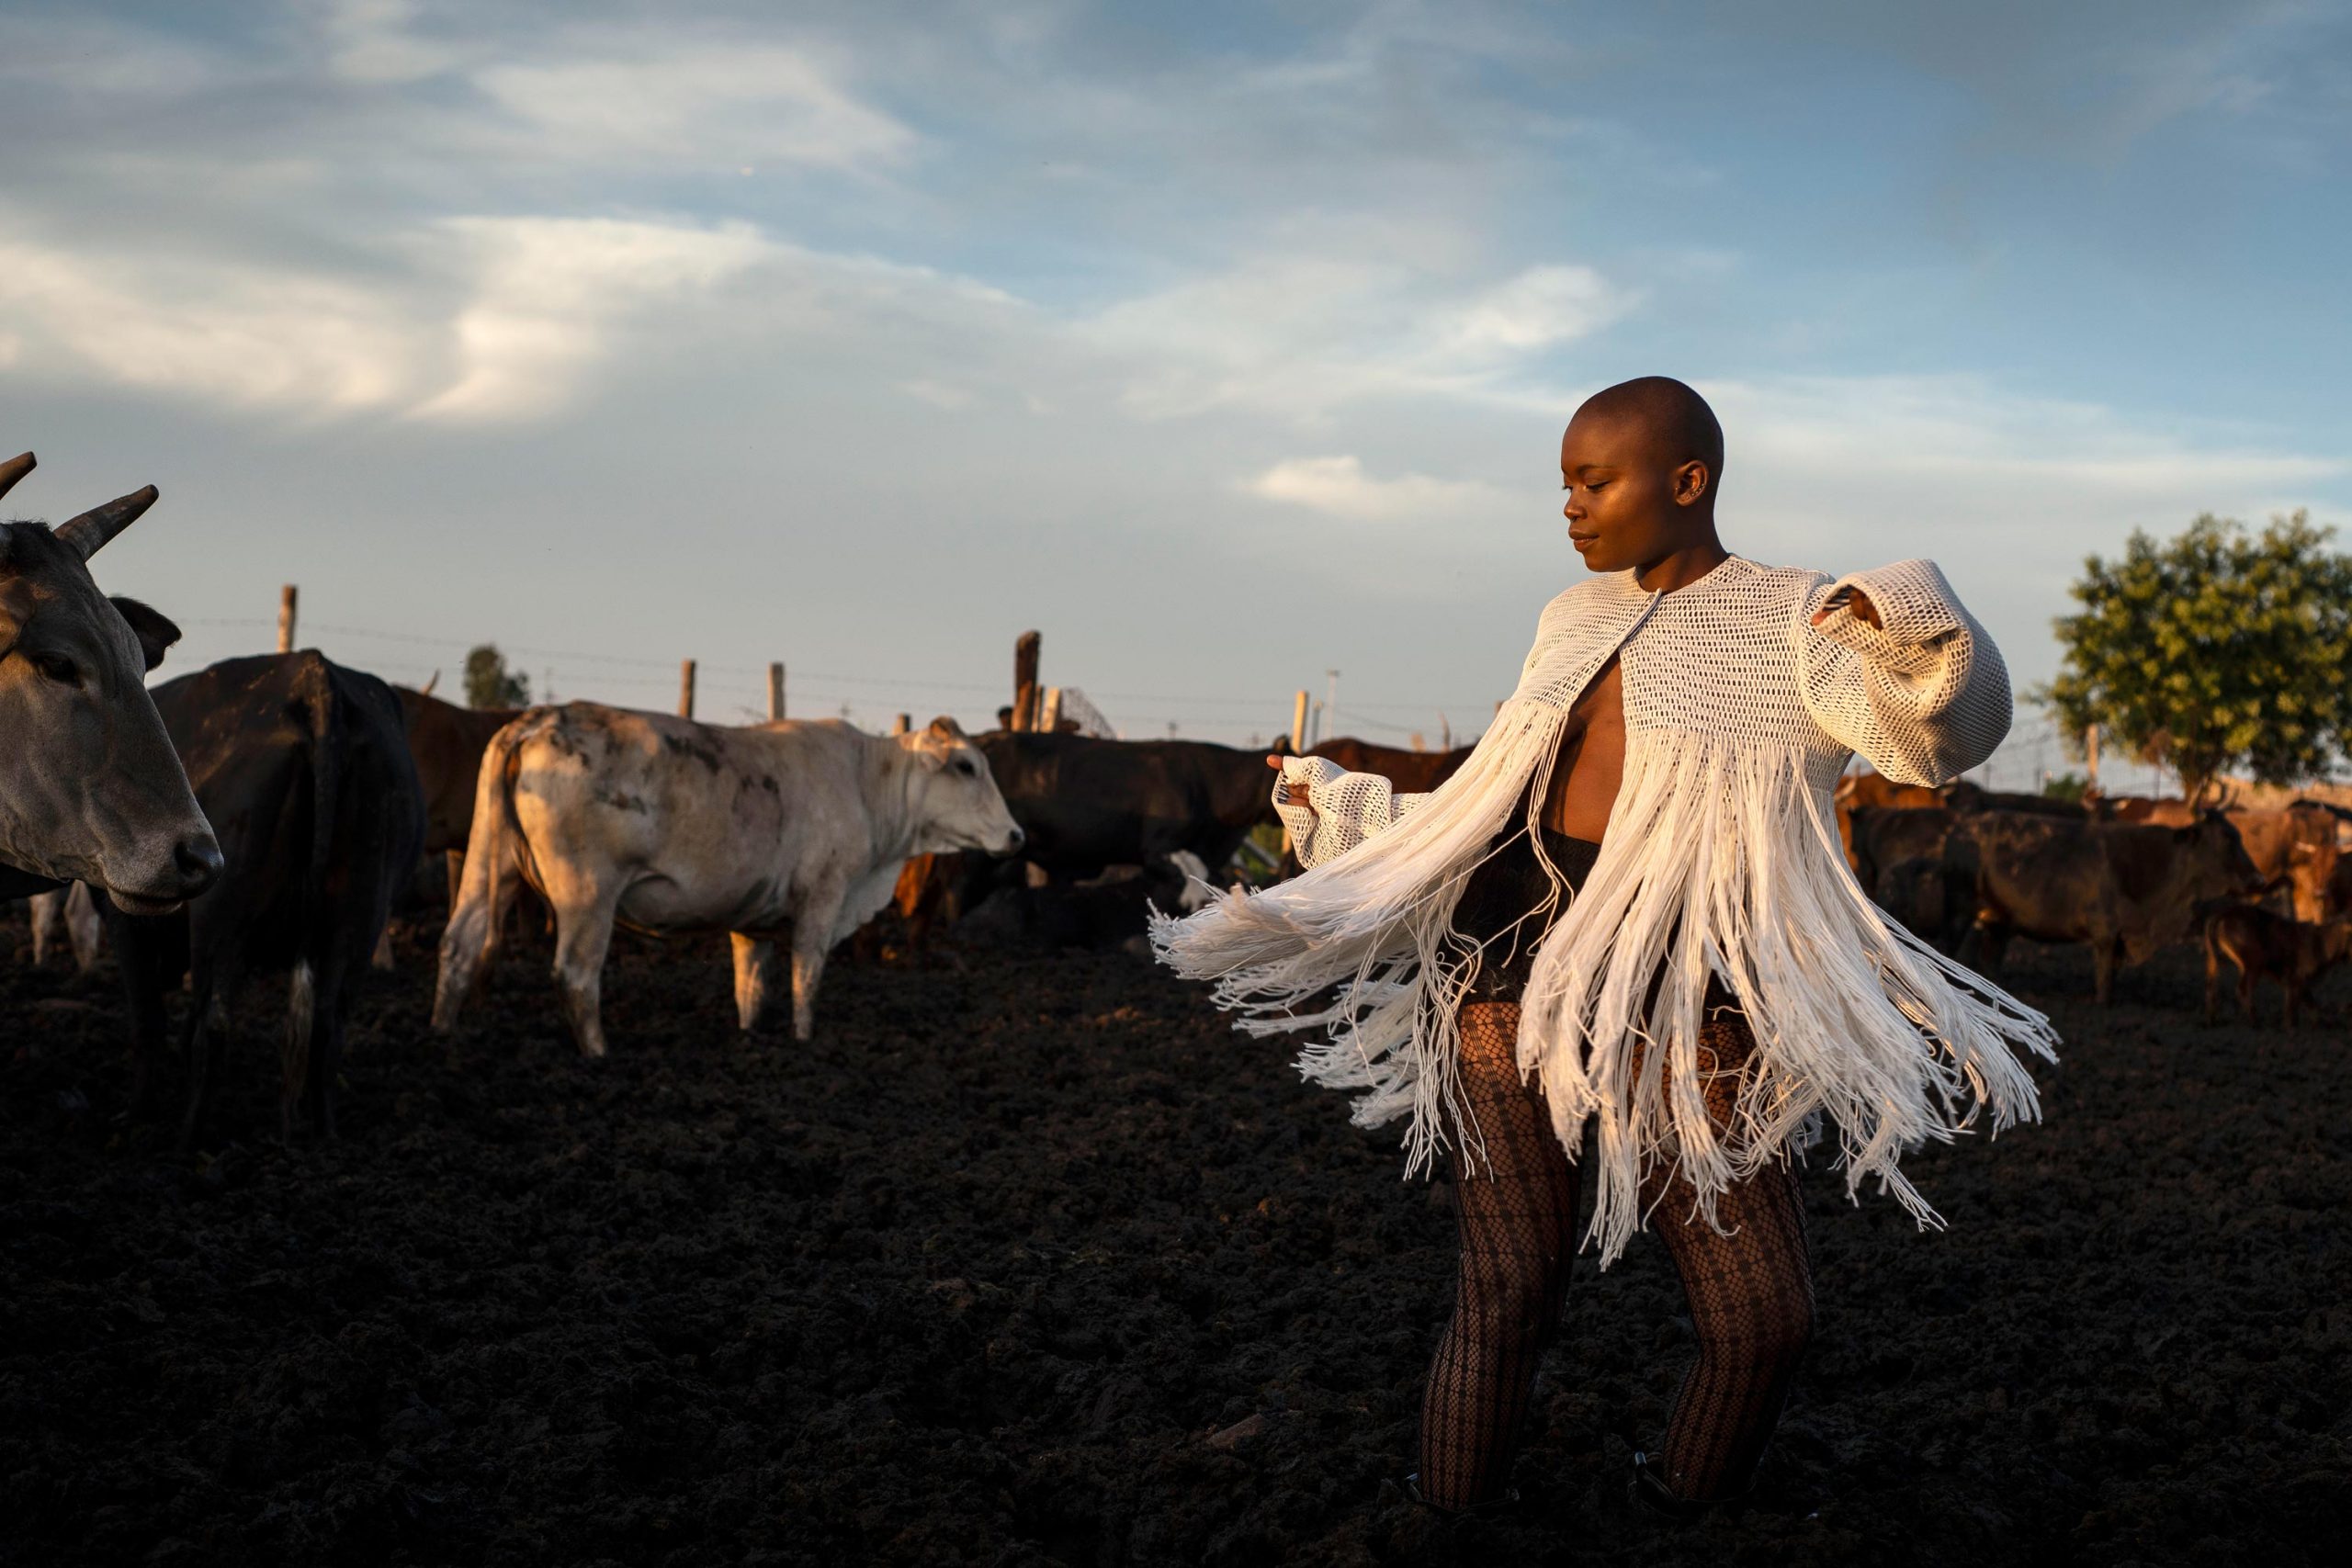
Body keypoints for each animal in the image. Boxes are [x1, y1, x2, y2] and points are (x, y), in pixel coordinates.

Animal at [104, 653, 427, 1152]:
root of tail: (314, 675)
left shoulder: (126, 922)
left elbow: (148, 1019)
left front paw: (137, 1114)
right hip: (360, 916)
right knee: (328, 1028)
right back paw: (326, 1135)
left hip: (221, 919)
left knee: (215, 1025)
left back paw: (188, 1139)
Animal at [433, 709, 1021, 1053]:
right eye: (966, 766)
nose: (1016, 836)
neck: (863, 781)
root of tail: (537, 720)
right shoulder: (822, 897)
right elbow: (806, 979)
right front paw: (804, 1043)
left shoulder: (752, 920)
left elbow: (750, 990)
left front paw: (749, 1037)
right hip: (587, 894)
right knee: (576, 974)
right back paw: (599, 1054)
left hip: (489, 861)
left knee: (459, 945)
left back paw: (443, 1035)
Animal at [1956, 808, 2267, 1006]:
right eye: (2226, 838)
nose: (2259, 881)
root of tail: (1965, 825)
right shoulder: (2105, 934)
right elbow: (2104, 977)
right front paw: (2102, 1003)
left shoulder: (2121, 939)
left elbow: (2114, 974)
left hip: (1997, 923)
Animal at [2201, 893, 2352, 1029]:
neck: (2321, 942)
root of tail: (2220, 916)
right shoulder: (2296, 978)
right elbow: (2294, 1006)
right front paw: (2291, 1027)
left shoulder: (2294, 982)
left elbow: (2308, 1005)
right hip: (2254, 963)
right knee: (2243, 990)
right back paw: (2255, 1022)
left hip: (2213, 962)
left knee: (2210, 988)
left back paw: (2211, 1021)